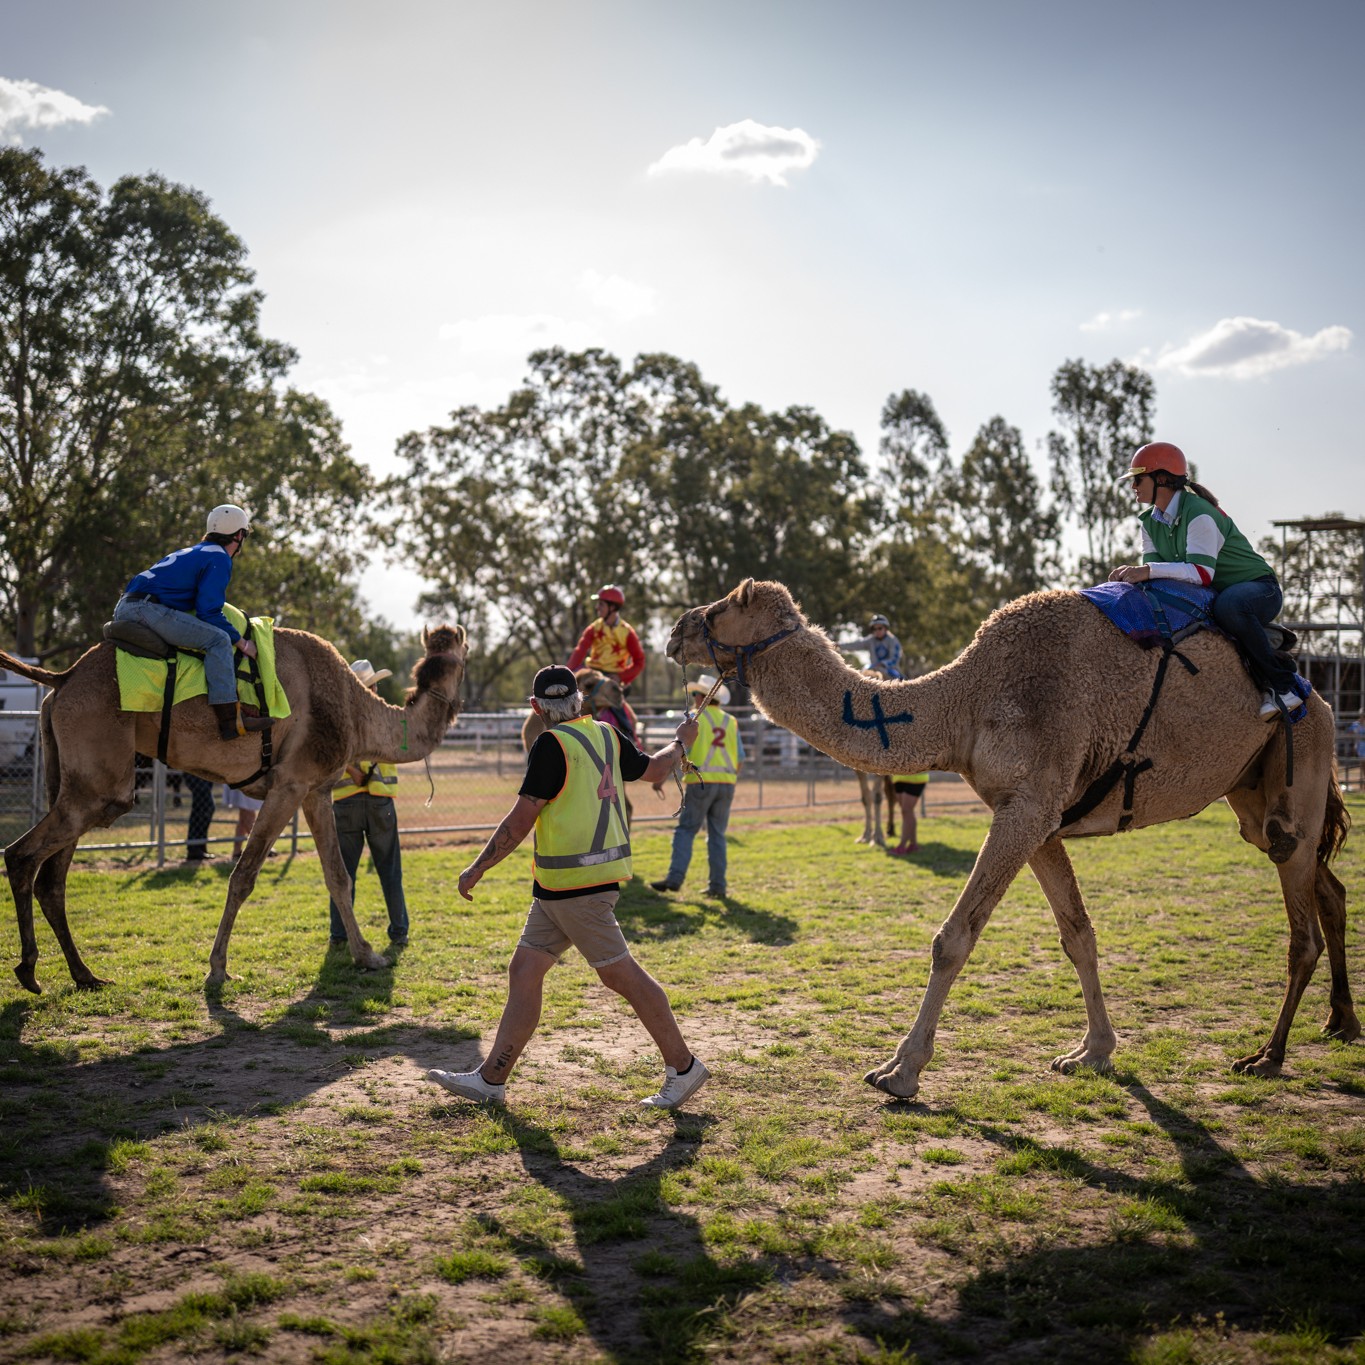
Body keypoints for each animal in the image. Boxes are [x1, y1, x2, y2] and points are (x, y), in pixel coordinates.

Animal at [1, 625, 467, 992]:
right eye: (464, 656)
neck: (356, 711)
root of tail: (62, 678)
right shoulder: (289, 784)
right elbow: (243, 877)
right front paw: (218, 971)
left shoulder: (316, 790)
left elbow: (338, 877)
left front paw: (367, 956)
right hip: (102, 781)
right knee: (22, 854)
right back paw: (29, 971)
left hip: (68, 778)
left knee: (52, 878)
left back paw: (85, 975)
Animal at [667, 578, 1356, 1098]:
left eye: (724, 607)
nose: (676, 630)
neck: (965, 702)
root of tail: (1319, 697)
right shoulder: (1037, 815)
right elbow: (1078, 934)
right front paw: (1091, 1053)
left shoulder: (1025, 806)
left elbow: (953, 939)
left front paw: (900, 1071)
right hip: (1250, 794)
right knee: (1329, 885)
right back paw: (1341, 1022)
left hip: (1298, 767)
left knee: (1301, 922)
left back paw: (1268, 1056)